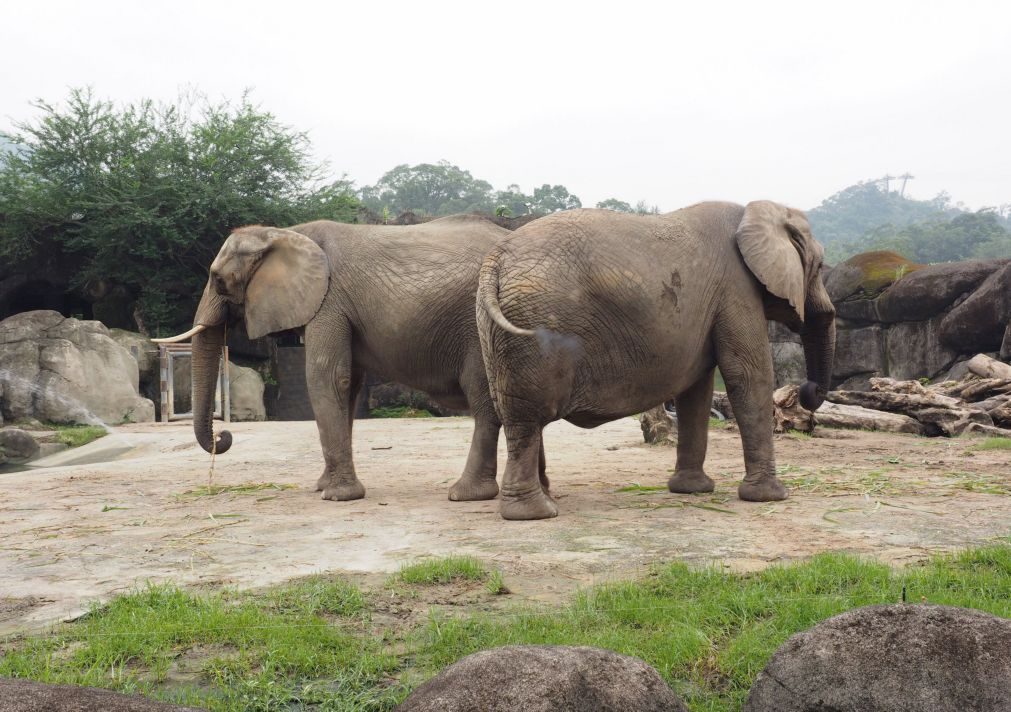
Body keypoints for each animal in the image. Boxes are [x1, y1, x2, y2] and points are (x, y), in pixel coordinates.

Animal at [155, 214, 529, 503]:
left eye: (218, 279)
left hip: (480, 327)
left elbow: (327, 377)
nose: (224, 437)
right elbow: (348, 387)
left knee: (482, 397)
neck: (286, 232)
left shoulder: (328, 301)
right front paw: (323, 487)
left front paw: (336, 496)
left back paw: (465, 494)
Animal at [477, 203, 841, 521]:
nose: (807, 390)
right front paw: (771, 497)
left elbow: (696, 391)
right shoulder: (736, 289)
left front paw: (692, 490)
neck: (757, 212)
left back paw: (545, 499)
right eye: (821, 266)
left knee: (513, 410)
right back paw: (534, 513)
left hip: (492, 329)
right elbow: (749, 377)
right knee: (528, 417)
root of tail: (496, 258)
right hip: (531, 323)